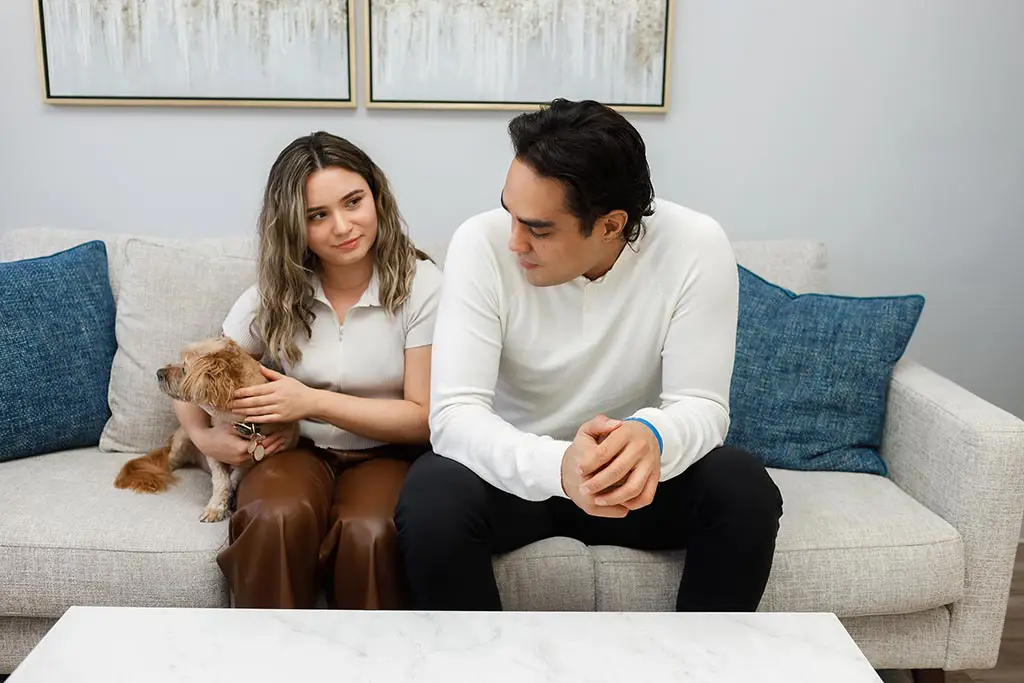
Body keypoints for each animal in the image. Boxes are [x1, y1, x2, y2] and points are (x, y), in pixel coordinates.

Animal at [117, 335, 299, 524]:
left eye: (184, 368)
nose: (159, 372)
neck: (240, 422)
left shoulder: (261, 454)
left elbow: (235, 476)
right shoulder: (214, 449)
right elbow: (221, 481)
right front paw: (216, 506)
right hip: (181, 441)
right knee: (166, 463)